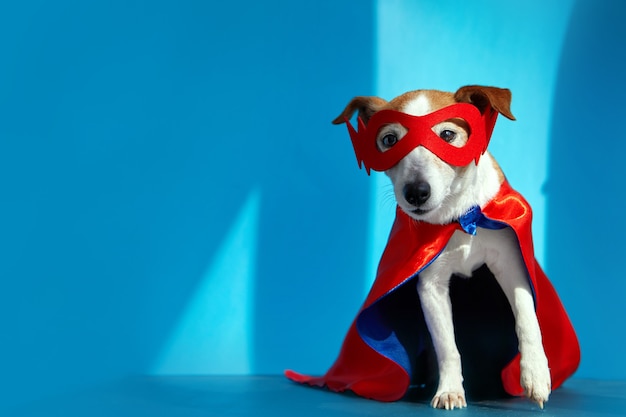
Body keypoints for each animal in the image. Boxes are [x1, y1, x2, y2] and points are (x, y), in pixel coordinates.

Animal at [332, 86, 552, 408]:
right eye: (389, 140)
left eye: (447, 135)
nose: (416, 192)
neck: (459, 217)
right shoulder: (430, 286)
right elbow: (447, 345)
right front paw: (449, 389)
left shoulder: (512, 265)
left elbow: (527, 318)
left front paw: (535, 373)